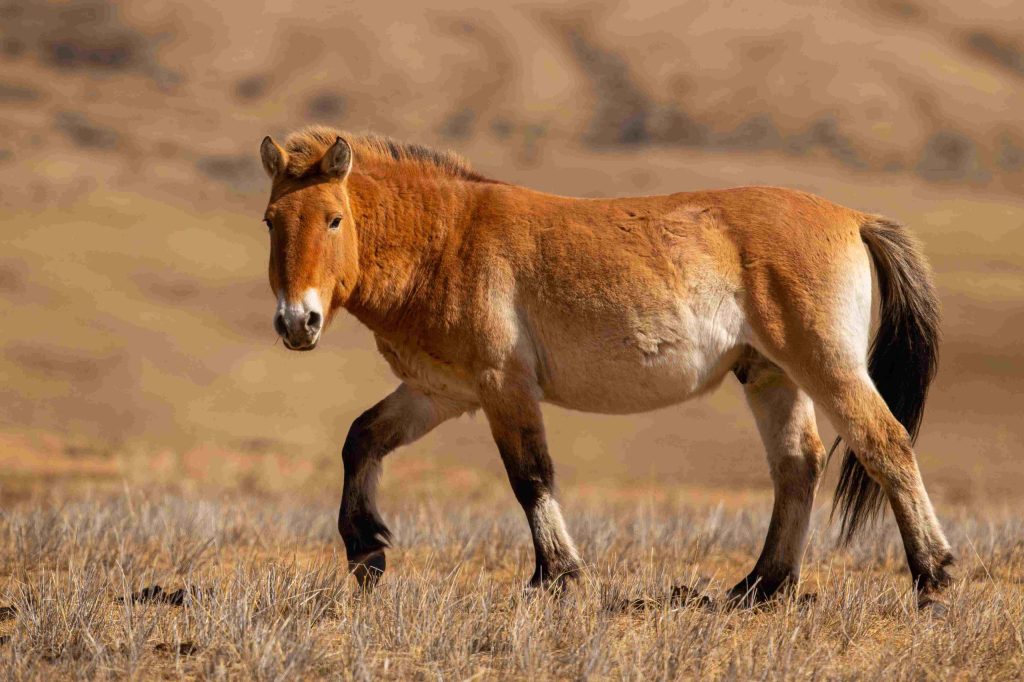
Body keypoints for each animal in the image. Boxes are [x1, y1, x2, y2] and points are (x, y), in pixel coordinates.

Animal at [257, 125, 951, 607]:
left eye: (334, 218)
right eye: (270, 221)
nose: (297, 322)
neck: (447, 239)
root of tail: (854, 219)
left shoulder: (502, 386)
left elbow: (531, 477)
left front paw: (558, 577)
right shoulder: (440, 392)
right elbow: (361, 439)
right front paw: (366, 551)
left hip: (826, 366)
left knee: (884, 444)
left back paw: (933, 577)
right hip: (771, 376)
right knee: (797, 465)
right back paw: (760, 587)